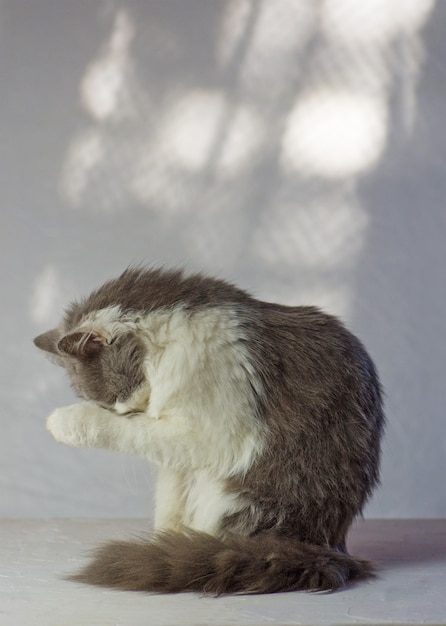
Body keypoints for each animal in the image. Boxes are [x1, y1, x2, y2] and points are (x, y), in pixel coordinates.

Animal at [34, 266, 384, 592]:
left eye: (111, 402)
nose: (129, 411)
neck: (169, 342)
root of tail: (328, 547)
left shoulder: (217, 437)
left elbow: (129, 432)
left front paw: (64, 421)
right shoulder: (176, 462)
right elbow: (170, 499)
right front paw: (165, 541)